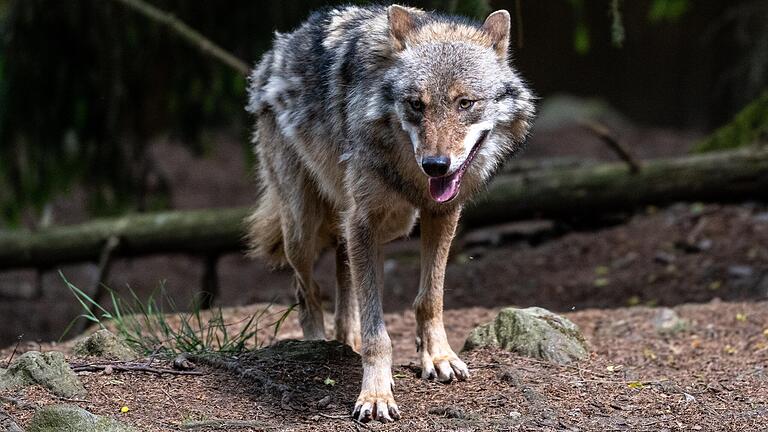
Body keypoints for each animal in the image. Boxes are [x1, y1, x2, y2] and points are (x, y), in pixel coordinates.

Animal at [246, 2, 536, 422]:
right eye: (416, 104)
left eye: (465, 103)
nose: (436, 165)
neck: (410, 177)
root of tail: (273, 54)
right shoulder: (363, 222)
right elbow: (377, 332)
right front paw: (376, 395)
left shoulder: (440, 214)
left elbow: (430, 299)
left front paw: (439, 357)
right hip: (303, 229)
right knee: (307, 290)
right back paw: (318, 344)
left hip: (380, 226)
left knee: (343, 280)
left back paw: (344, 343)